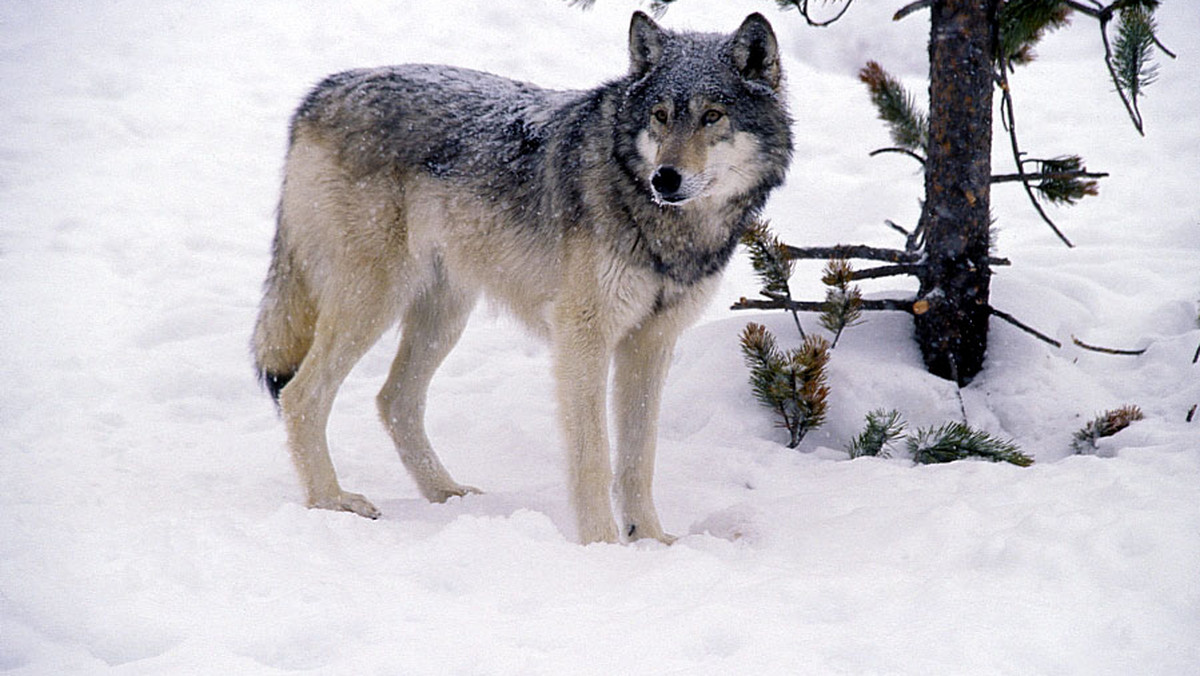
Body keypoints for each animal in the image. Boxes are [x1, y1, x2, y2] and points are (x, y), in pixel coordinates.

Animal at [253, 10, 792, 545]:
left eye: (712, 116)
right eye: (660, 115)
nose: (665, 178)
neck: (665, 225)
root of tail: (323, 89)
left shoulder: (651, 343)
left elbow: (639, 459)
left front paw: (651, 540)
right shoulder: (583, 336)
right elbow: (594, 458)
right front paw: (602, 546)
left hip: (444, 314)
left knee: (394, 400)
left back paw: (446, 493)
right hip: (372, 302)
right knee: (302, 395)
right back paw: (332, 502)